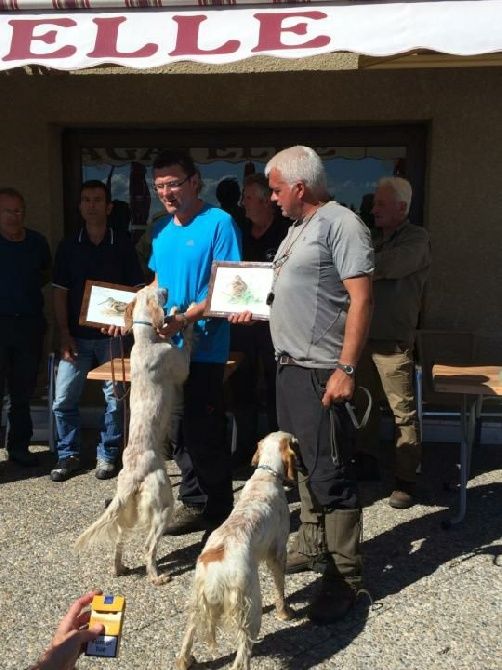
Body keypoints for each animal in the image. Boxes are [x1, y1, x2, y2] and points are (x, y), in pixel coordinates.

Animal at [75, 286, 193, 584]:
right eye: (157, 290)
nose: (166, 288)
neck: (145, 340)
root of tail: (132, 478)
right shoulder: (181, 363)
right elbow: (186, 340)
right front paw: (184, 314)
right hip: (163, 504)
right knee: (148, 546)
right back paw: (157, 576)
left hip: (127, 513)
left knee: (118, 542)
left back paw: (119, 569)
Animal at [176, 434, 298, 668]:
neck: (265, 476)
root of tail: (215, 572)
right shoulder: (278, 553)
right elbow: (280, 588)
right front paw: (284, 613)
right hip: (248, 610)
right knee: (243, 653)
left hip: (198, 603)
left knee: (188, 634)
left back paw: (186, 660)